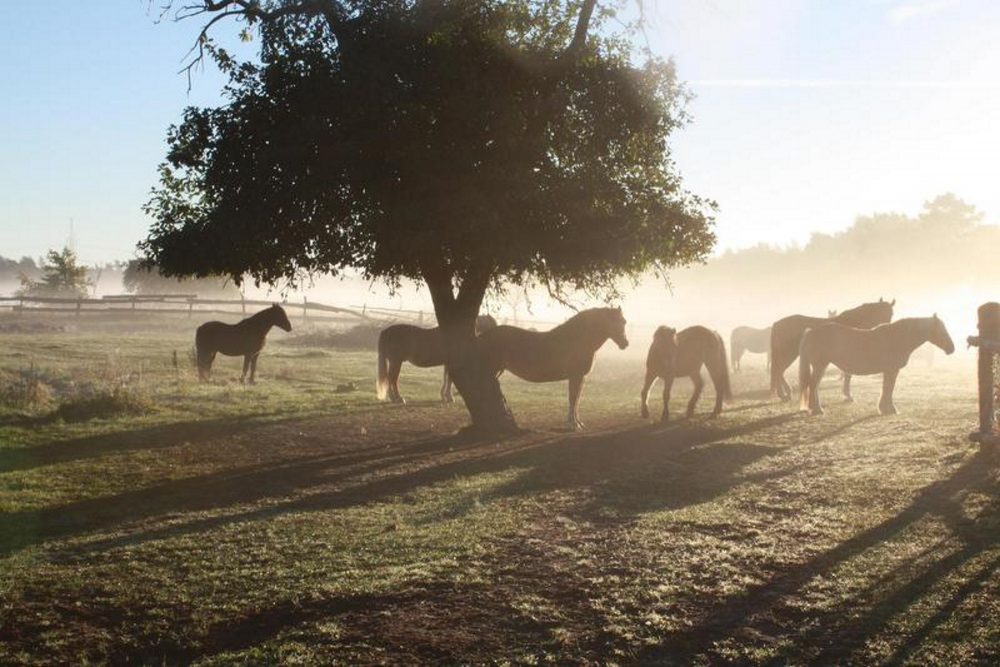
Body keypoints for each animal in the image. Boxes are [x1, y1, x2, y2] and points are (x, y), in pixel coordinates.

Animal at [474, 310, 624, 434]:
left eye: (624, 322)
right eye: (619, 322)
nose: (625, 343)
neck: (577, 338)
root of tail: (484, 335)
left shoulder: (580, 377)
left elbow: (576, 399)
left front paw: (579, 423)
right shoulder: (575, 376)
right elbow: (573, 399)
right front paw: (574, 425)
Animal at [768, 298, 896, 402]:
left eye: (891, 314)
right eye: (880, 313)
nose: (886, 330)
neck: (852, 322)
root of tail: (777, 324)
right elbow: (848, 374)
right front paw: (848, 395)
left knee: (778, 371)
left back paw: (785, 394)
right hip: (788, 353)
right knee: (778, 371)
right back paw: (784, 394)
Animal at [796, 314, 952, 418]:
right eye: (941, 330)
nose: (951, 348)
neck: (898, 337)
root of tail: (810, 332)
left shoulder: (890, 370)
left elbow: (887, 388)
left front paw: (885, 408)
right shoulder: (891, 370)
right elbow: (888, 388)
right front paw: (889, 409)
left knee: (813, 386)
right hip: (820, 365)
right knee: (813, 385)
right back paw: (817, 410)